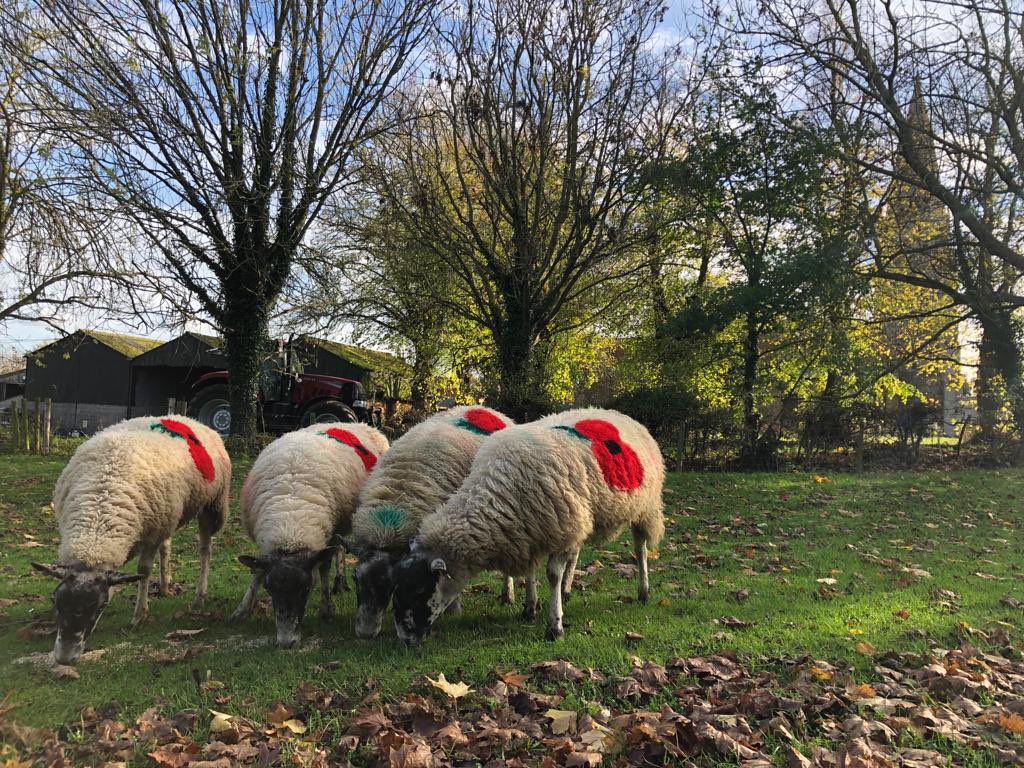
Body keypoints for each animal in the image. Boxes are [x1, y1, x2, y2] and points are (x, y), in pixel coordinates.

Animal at [31, 415, 231, 664]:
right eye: (55, 601)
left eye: (100, 607)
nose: (65, 658)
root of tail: (185, 418)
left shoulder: (152, 534)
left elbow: (143, 571)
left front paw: (139, 615)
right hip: (169, 514)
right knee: (167, 545)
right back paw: (165, 586)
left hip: (211, 505)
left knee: (205, 549)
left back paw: (199, 597)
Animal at [231, 422, 389, 647]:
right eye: (269, 590)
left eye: (306, 589)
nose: (286, 642)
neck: (290, 522)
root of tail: (357, 423)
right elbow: (258, 572)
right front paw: (242, 610)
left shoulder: (328, 535)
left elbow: (323, 567)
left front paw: (326, 610)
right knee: (339, 549)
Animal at [349, 406, 522, 639]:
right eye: (355, 578)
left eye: (391, 584)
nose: (365, 634)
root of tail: (484, 408)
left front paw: (454, 609)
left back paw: (507, 594)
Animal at [390, 407, 664, 645]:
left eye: (419, 589)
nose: (405, 639)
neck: (499, 491)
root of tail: (617, 413)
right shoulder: (532, 531)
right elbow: (531, 572)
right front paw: (530, 608)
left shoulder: (556, 527)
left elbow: (552, 574)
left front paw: (555, 626)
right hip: (584, 513)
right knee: (576, 552)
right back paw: (567, 590)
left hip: (644, 507)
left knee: (640, 550)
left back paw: (644, 591)